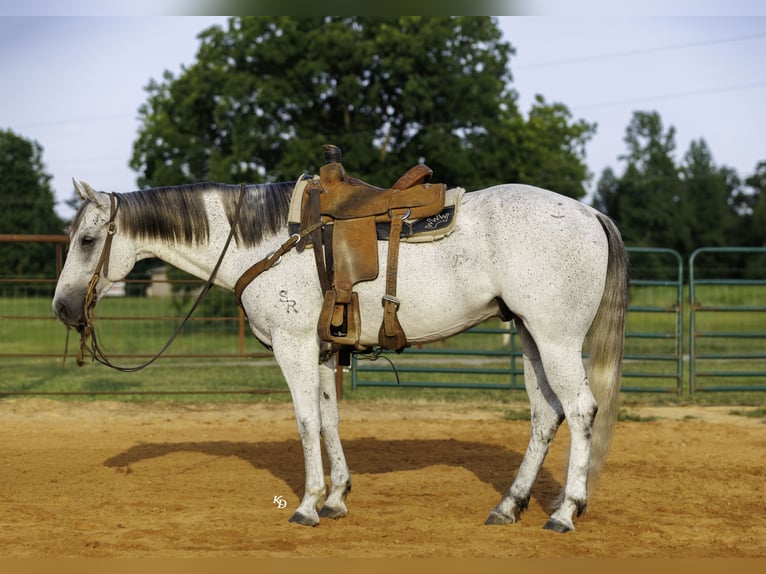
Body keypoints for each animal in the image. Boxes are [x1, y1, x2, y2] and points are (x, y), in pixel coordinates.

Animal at [52, 177, 628, 533]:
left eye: (87, 240)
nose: (62, 307)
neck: (265, 240)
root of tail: (588, 211)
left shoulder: (294, 345)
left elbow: (306, 421)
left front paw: (307, 504)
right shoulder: (324, 351)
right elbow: (329, 420)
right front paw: (336, 498)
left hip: (556, 339)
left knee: (580, 411)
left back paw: (565, 513)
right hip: (532, 338)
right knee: (545, 415)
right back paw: (509, 506)